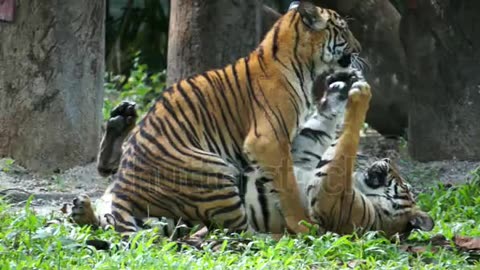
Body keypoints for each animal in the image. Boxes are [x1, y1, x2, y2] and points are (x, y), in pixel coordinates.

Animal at [72, 1, 360, 235]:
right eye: (344, 29)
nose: (359, 49)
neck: (304, 65)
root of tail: (124, 187)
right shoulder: (268, 140)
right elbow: (287, 186)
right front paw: (304, 226)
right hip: (215, 170)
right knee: (235, 232)